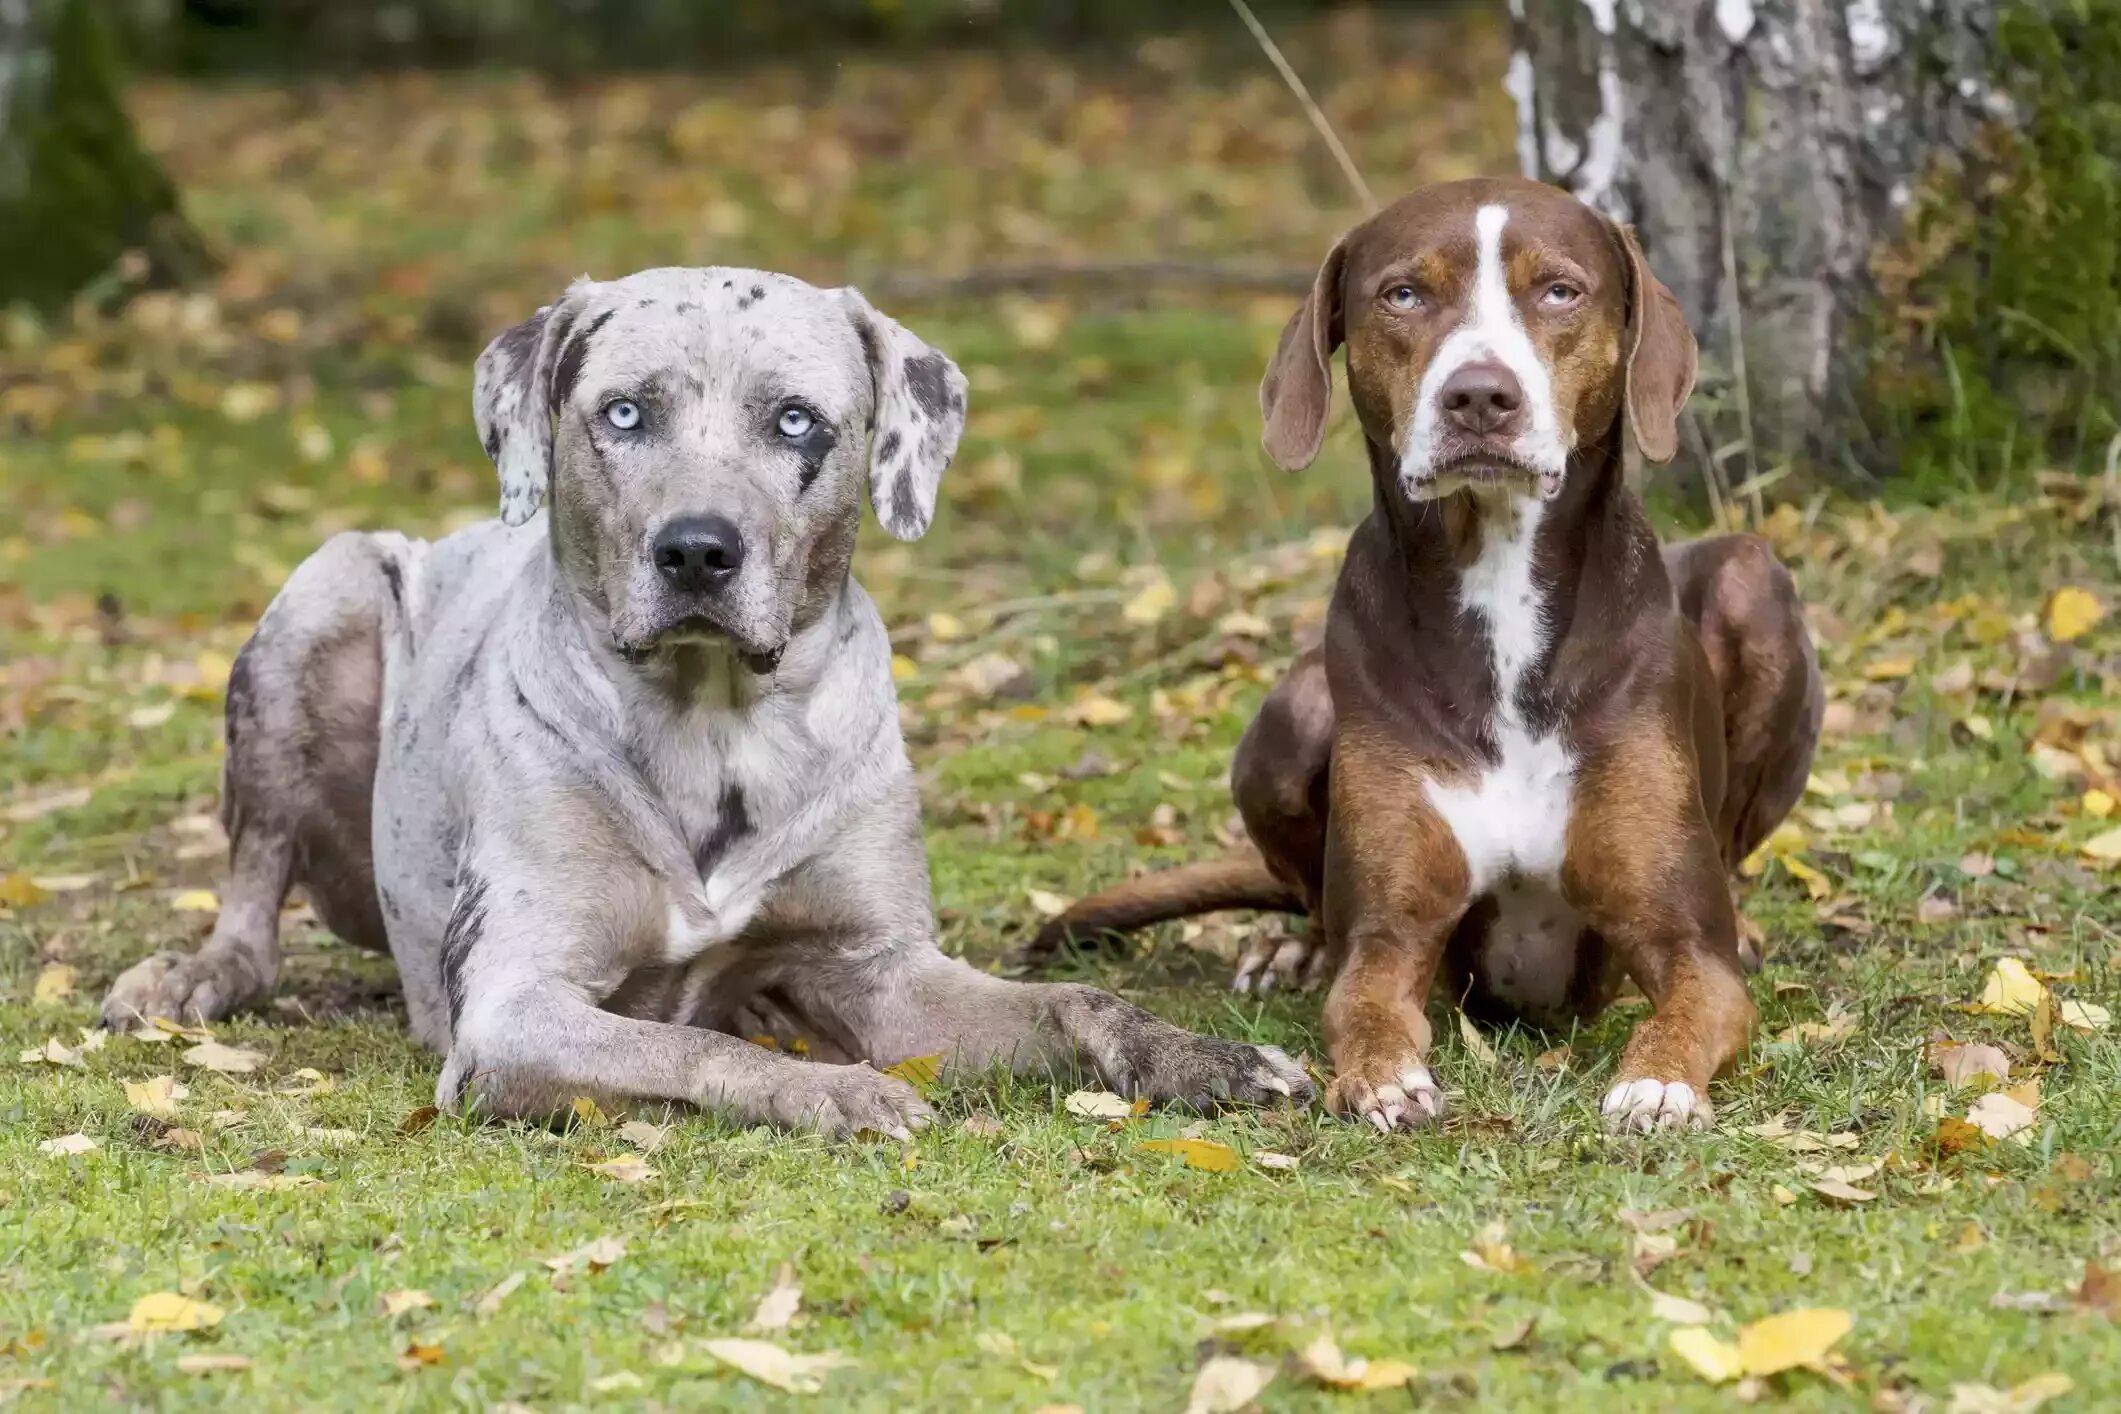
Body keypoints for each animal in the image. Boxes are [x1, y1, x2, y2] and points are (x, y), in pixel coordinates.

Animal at [1022, 182, 1824, 1136]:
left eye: (1559, 291)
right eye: (1403, 295)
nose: (1479, 397)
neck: (1498, 583)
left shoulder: (1683, 942)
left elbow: (1692, 1002)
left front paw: (1657, 1083)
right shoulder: (1389, 934)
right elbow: (1363, 1002)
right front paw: (1382, 1078)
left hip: (1751, 577)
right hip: (1291, 717)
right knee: (1309, 895)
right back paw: (1292, 947)